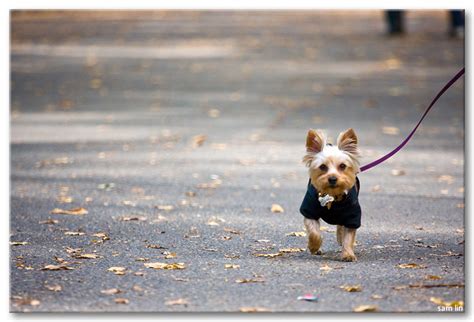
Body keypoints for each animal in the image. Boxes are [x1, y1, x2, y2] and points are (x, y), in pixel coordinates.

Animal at [300, 128, 362, 262]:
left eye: (343, 166)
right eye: (322, 167)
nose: (332, 178)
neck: (332, 196)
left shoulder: (352, 215)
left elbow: (348, 237)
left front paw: (348, 254)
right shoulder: (310, 212)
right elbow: (314, 233)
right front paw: (314, 247)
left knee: (340, 227)